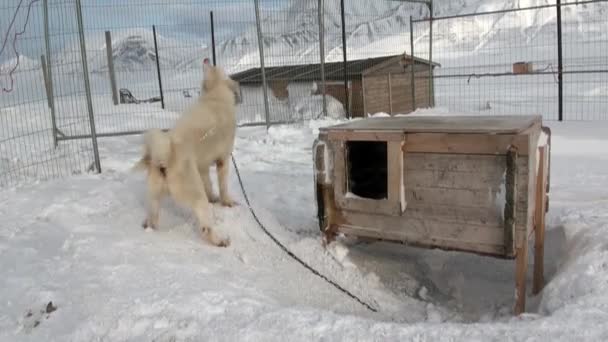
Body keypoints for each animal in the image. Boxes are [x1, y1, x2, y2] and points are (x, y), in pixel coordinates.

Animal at [134, 62, 241, 248]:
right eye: (216, 66)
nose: (205, 59)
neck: (214, 97)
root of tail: (166, 155)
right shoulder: (223, 160)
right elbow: (223, 186)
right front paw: (226, 202)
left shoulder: (203, 166)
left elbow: (209, 184)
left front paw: (213, 197)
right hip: (196, 196)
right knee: (206, 228)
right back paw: (220, 240)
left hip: (154, 198)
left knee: (151, 220)